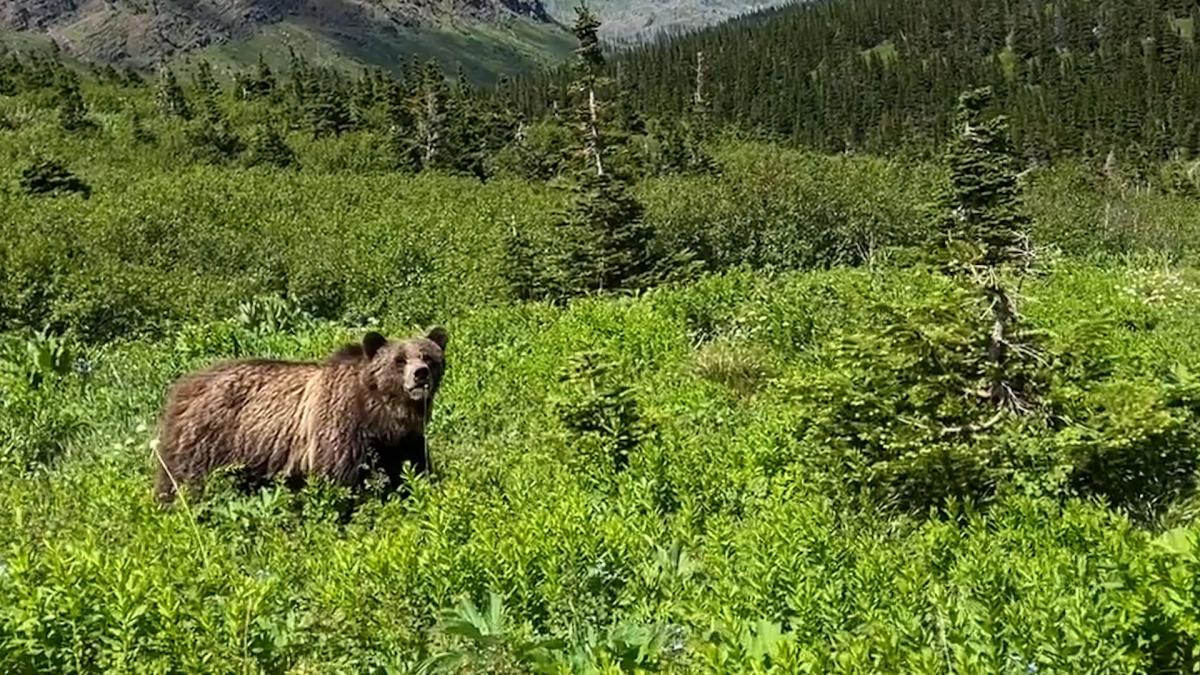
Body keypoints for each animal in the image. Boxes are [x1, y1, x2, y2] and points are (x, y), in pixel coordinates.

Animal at [152, 326, 448, 504]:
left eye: (428, 357)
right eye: (399, 360)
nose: (420, 374)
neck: (382, 416)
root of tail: (183, 386)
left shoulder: (404, 442)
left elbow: (412, 471)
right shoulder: (340, 428)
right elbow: (339, 483)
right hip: (207, 439)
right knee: (185, 481)